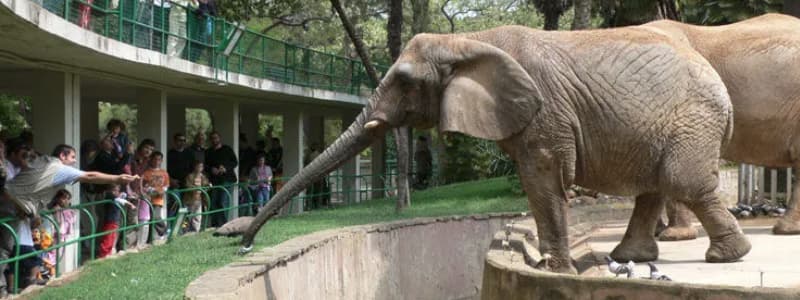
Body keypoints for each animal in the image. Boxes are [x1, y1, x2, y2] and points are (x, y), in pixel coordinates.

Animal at [239, 24, 752, 274]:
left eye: (404, 81)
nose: (244, 243)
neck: (467, 43)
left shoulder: (543, 109)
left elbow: (541, 177)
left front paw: (556, 271)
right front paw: (556, 267)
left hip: (693, 118)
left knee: (681, 180)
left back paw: (727, 258)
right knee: (655, 184)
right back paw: (632, 258)